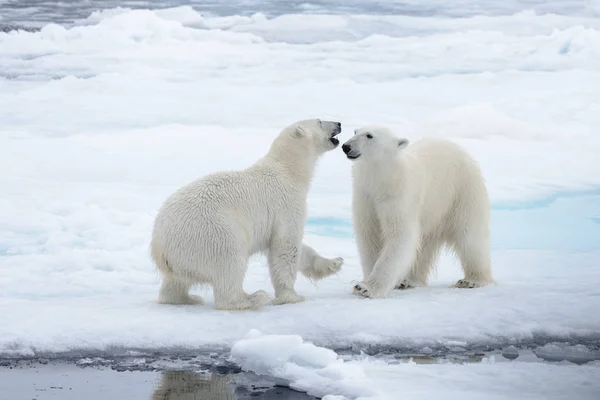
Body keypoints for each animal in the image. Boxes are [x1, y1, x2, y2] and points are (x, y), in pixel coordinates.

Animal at [150, 118, 344, 310]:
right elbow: (286, 247)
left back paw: (187, 298)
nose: (339, 123)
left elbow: (295, 249)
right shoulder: (286, 204)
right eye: (319, 121)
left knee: (176, 282)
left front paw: (334, 263)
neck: (289, 170)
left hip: (181, 259)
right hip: (211, 233)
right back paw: (252, 298)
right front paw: (292, 296)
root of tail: (160, 246)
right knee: (230, 263)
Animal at [342, 126, 492, 298]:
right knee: (424, 245)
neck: (382, 181)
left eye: (369, 135)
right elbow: (369, 235)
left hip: (462, 194)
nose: (346, 146)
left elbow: (400, 235)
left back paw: (472, 280)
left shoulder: (399, 197)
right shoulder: (365, 196)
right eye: (355, 131)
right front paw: (365, 283)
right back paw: (409, 280)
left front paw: (367, 288)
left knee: (470, 237)